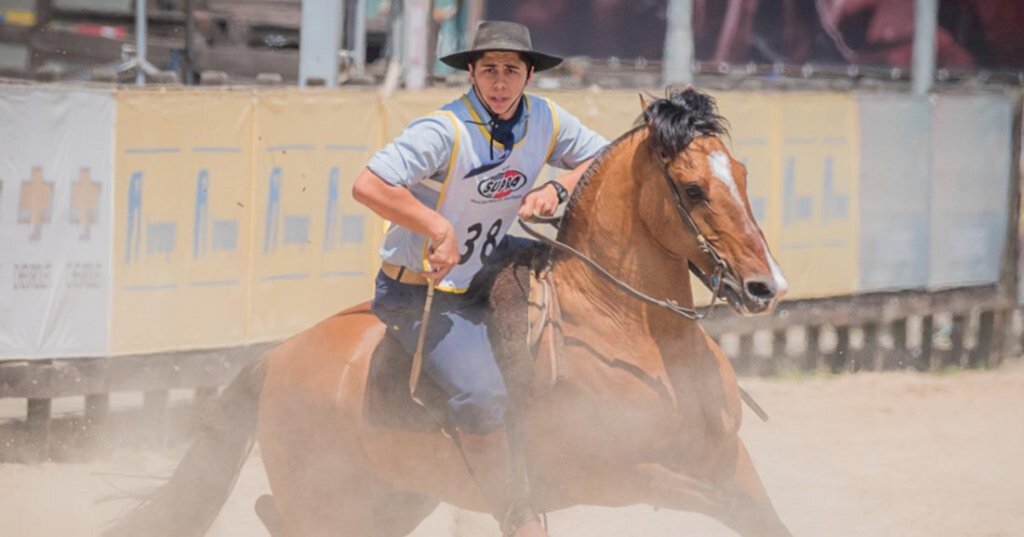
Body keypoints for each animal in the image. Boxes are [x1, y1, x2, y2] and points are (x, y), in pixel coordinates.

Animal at [103, 89, 790, 537]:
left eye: (742, 173)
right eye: (693, 188)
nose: (766, 286)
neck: (636, 337)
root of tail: (275, 359)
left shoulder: (729, 458)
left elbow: (761, 515)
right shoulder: (616, 475)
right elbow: (719, 505)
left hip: (392, 499)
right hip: (327, 499)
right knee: (279, 515)